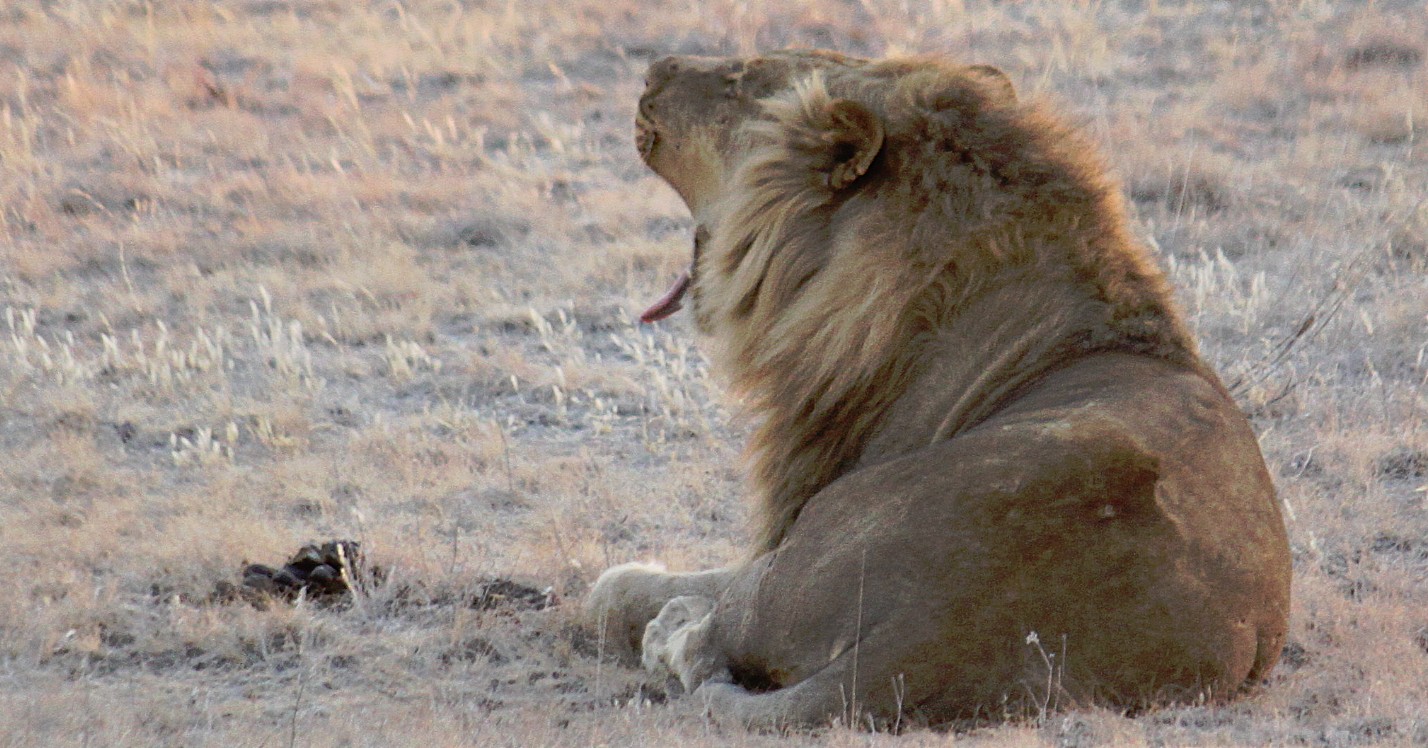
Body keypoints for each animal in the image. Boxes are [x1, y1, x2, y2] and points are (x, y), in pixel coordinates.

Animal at [582, 52, 1296, 730]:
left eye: (740, 78)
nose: (653, 70)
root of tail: (932, 632)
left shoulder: (783, 526)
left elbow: (635, 586)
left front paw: (639, 587)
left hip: (810, 542)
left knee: (712, 630)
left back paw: (670, 628)